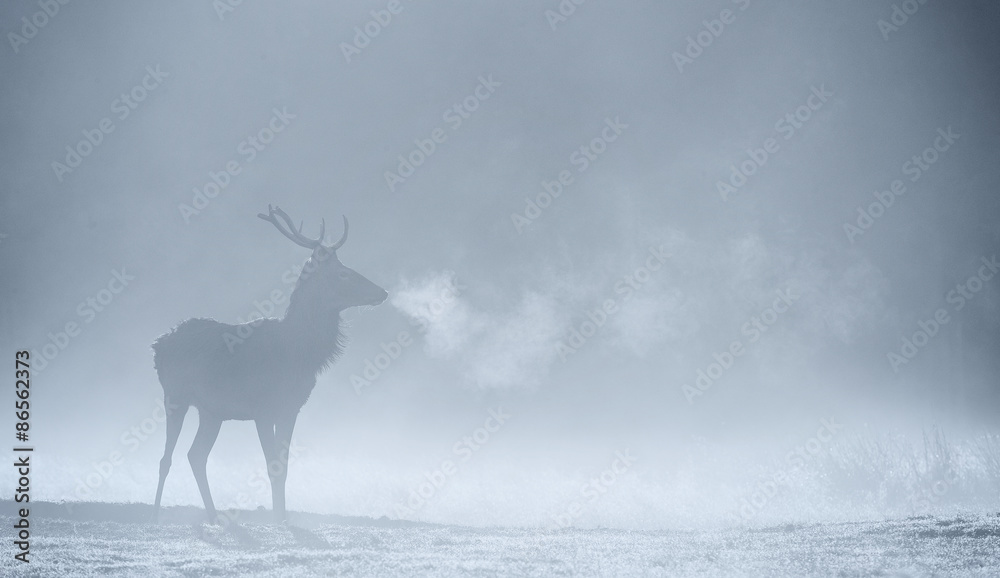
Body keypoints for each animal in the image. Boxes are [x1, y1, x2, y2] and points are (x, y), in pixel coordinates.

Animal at [150, 205, 387, 524]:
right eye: (343, 273)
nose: (383, 292)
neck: (299, 353)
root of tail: (158, 345)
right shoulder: (262, 408)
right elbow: (271, 466)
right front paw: (277, 519)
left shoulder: (291, 408)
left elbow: (284, 468)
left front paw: (283, 517)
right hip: (175, 395)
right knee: (166, 458)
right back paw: (155, 515)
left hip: (211, 411)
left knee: (195, 455)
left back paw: (214, 517)